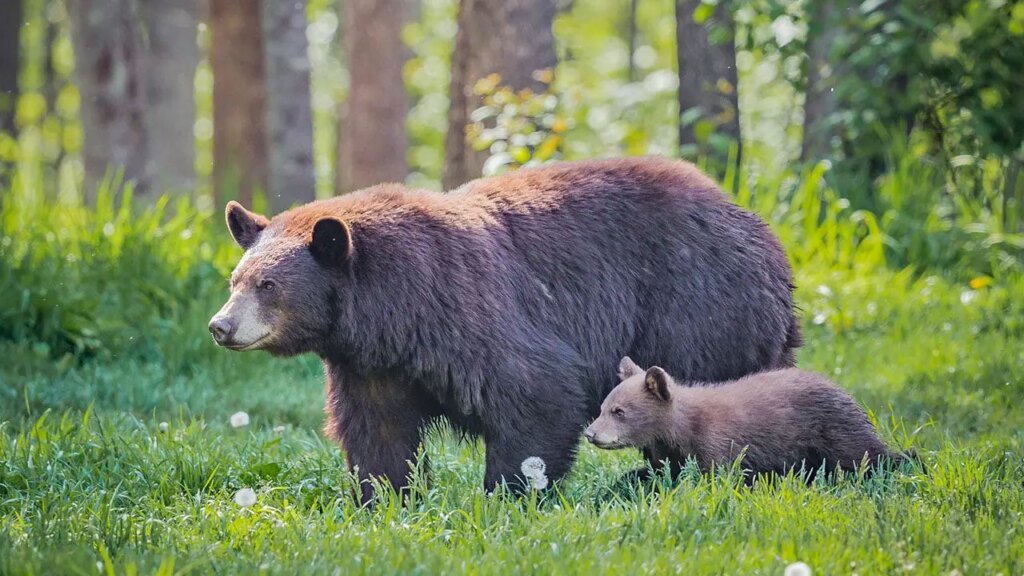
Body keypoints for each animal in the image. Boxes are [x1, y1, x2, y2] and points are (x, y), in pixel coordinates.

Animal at [207, 157, 801, 501]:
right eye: (236, 278)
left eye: (268, 285)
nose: (220, 325)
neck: (395, 311)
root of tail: (767, 237)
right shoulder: (374, 365)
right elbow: (378, 431)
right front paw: (385, 497)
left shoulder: (473, 311)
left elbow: (534, 395)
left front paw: (508, 494)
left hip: (699, 308)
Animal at [585, 357, 911, 480]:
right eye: (602, 407)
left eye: (619, 411)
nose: (590, 434)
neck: (682, 429)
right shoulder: (668, 454)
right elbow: (660, 474)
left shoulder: (718, 443)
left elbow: (721, 474)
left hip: (835, 429)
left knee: (866, 455)